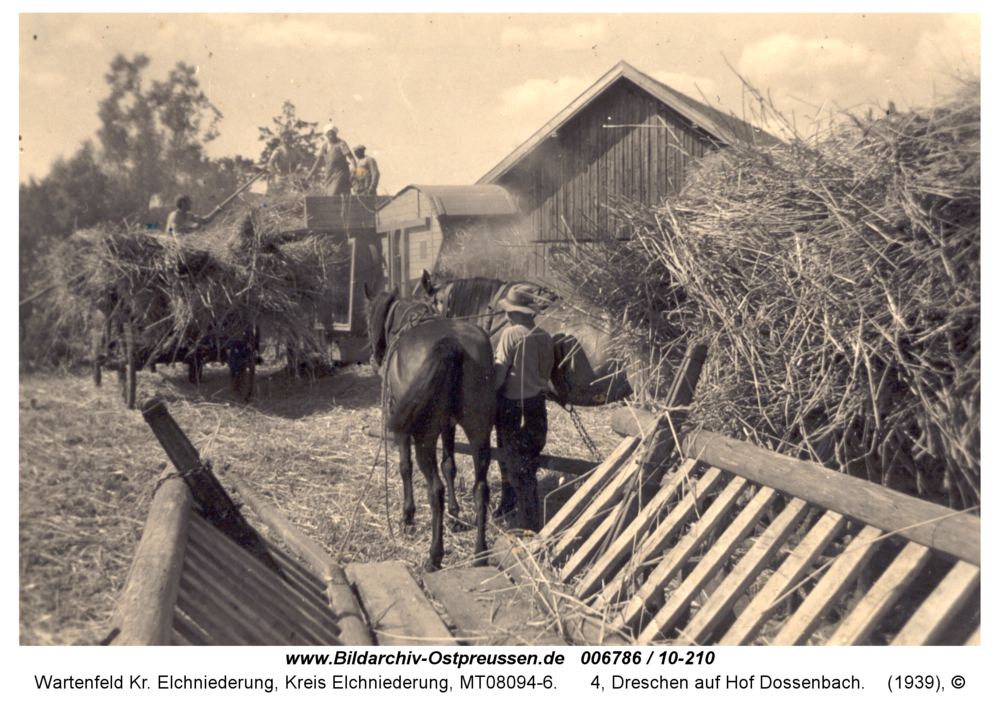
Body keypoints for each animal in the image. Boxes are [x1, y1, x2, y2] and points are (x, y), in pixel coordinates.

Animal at [364, 284, 496, 572]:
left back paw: (435, 555)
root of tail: (451, 343)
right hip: (479, 431)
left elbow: (405, 468)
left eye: (370, 318)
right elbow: (450, 466)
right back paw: (480, 553)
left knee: (435, 489)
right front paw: (455, 515)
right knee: (481, 489)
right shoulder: (448, 425)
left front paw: (407, 517)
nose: (376, 357)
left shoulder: (403, 427)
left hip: (424, 437)